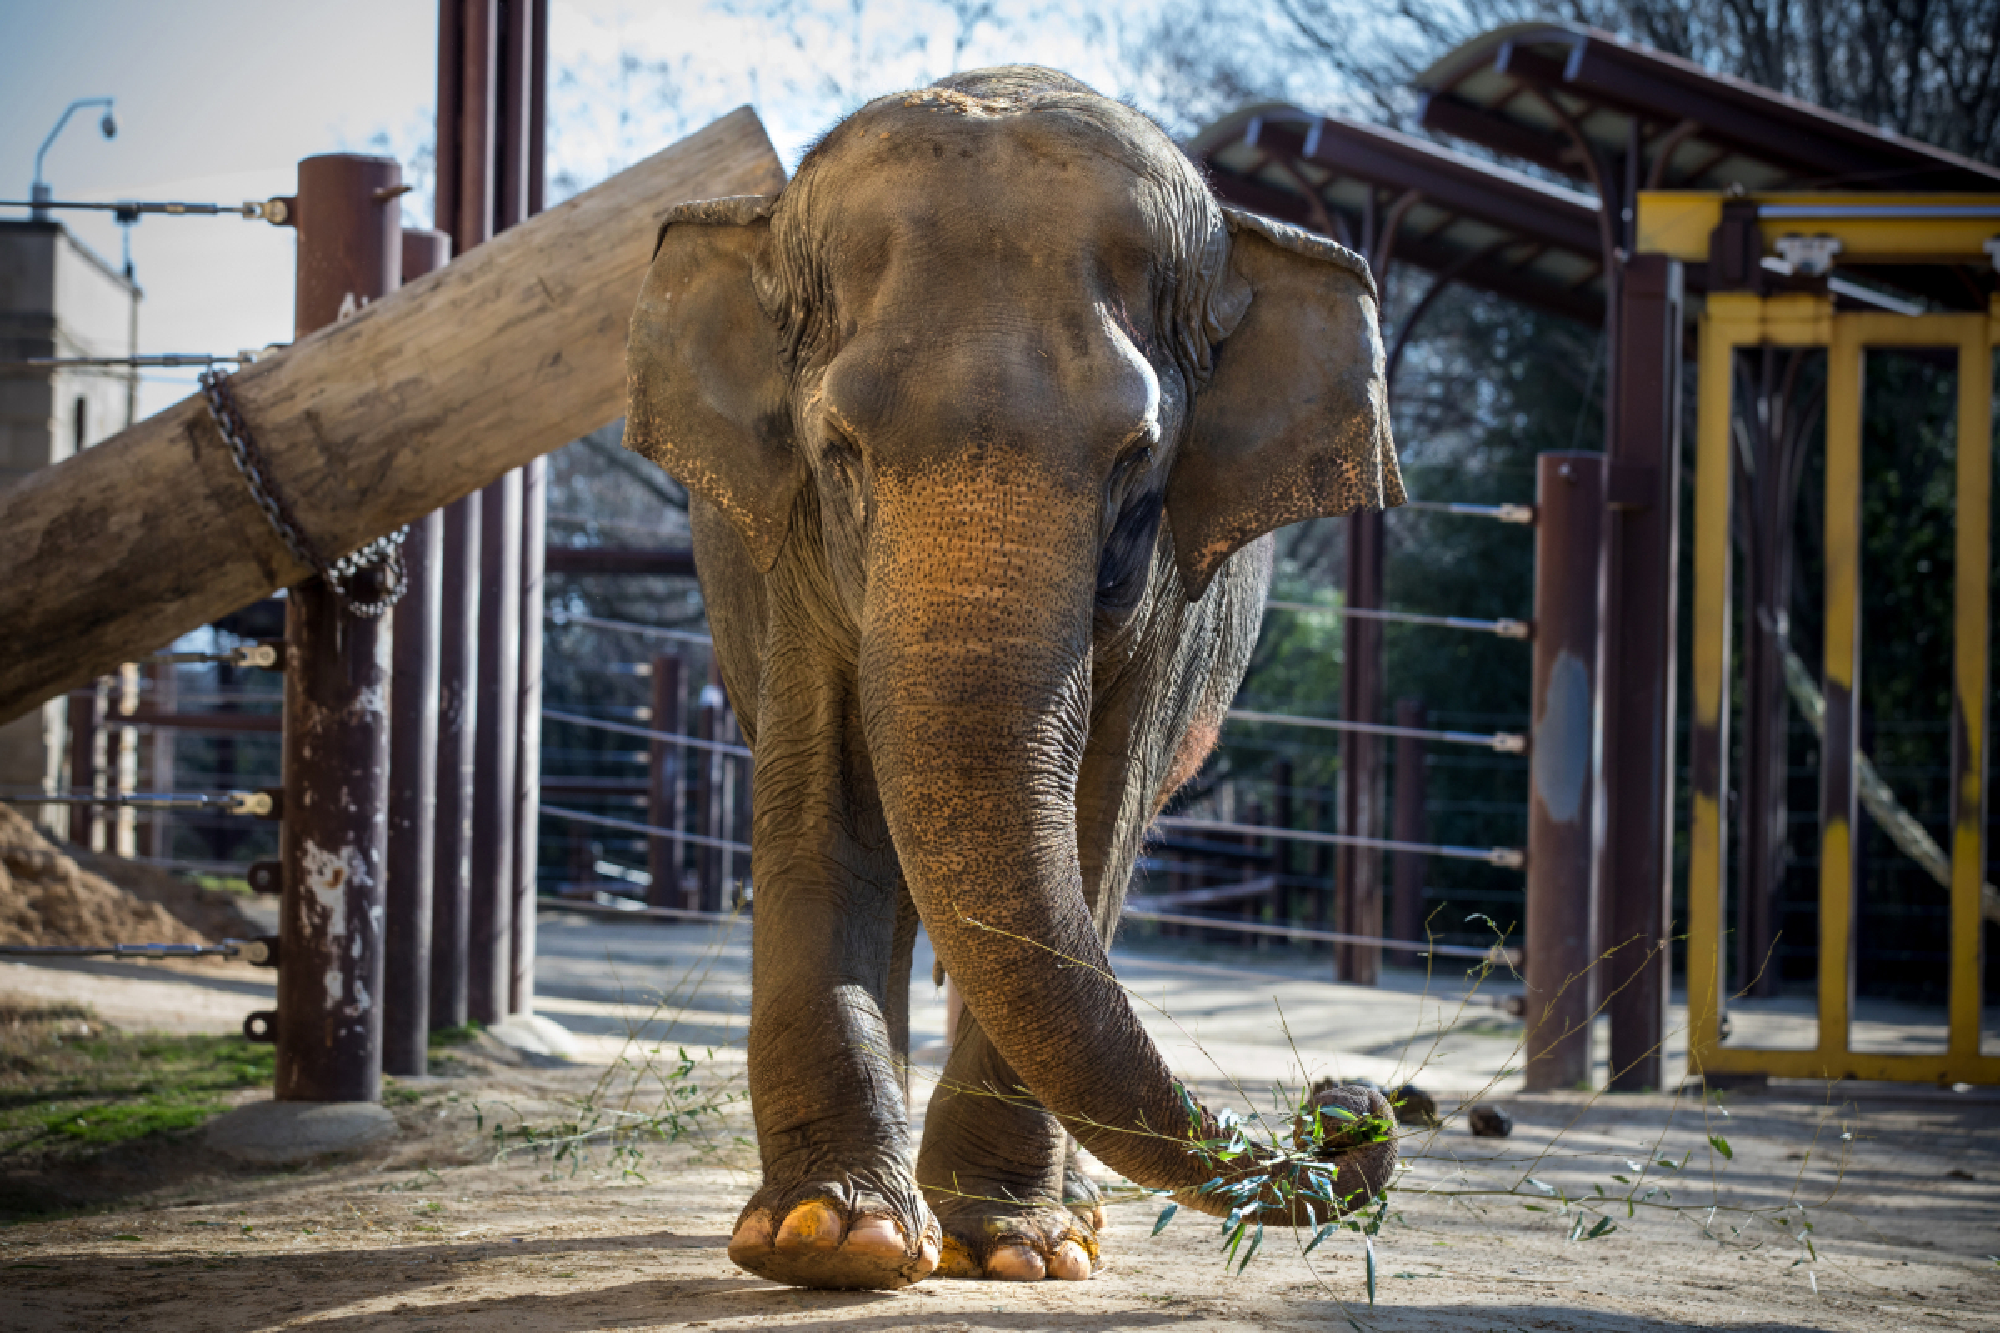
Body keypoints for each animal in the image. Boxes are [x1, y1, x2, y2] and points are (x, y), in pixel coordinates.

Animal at [622, 66, 1405, 1292]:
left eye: (1137, 460)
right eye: (838, 450)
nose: (1346, 1101)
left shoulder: (1174, 596)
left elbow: (1093, 827)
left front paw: (1018, 1246)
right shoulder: (787, 554)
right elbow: (823, 817)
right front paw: (832, 1238)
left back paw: (1060, 1209)